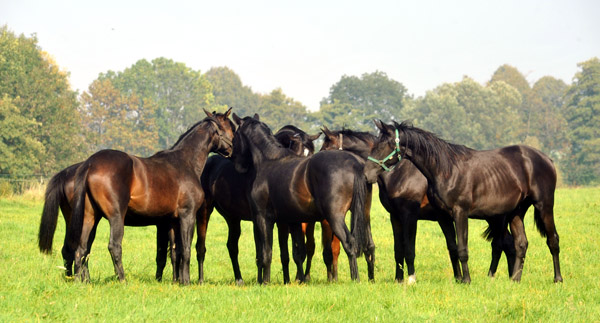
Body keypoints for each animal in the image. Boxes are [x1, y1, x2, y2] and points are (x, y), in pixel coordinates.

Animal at [65, 108, 234, 284]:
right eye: (231, 128)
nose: (232, 151)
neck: (185, 162)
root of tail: (90, 163)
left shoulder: (171, 221)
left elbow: (175, 252)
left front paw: (177, 281)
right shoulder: (187, 215)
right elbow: (186, 250)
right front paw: (186, 282)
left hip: (90, 217)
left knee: (81, 249)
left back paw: (79, 282)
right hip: (116, 217)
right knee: (114, 246)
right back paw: (122, 280)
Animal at [198, 123, 322, 284]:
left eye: (311, 154)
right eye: (298, 153)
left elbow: (295, 250)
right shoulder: (278, 222)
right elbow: (279, 253)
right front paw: (282, 280)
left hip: (232, 218)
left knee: (232, 246)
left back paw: (239, 279)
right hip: (205, 210)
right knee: (202, 246)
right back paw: (201, 279)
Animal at [231, 115, 376, 284]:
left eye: (235, 134)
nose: (236, 162)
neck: (269, 160)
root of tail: (355, 164)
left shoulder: (263, 218)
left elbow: (267, 253)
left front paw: (265, 282)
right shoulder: (292, 220)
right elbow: (298, 252)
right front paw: (299, 279)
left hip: (335, 217)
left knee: (350, 243)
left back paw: (355, 279)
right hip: (364, 214)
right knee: (369, 245)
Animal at [322, 126, 512, 284]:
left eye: (325, 148)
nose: (367, 174)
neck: (400, 173)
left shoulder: (410, 216)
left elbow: (409, 249)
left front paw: (411, 278)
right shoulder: (395, 217)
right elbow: (398, 249)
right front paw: (398, 279)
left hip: (495, 218)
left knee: (501, 244)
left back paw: (496, 276)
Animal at [364, 121, 564, 284]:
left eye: (385, 144)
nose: (367, 174)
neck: (446, 170)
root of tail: (547, 159)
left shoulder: (459, 213)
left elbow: (461, 248)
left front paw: (466, 280)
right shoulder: (443, 216)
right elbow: (452, 247)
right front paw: (459, 279)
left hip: (544, 206)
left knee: (552, 240)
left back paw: (557, 279)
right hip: (515, 212)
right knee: (520, 244)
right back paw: (515, 279)